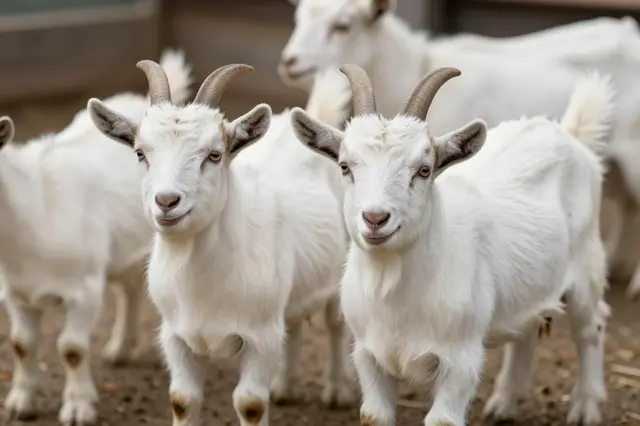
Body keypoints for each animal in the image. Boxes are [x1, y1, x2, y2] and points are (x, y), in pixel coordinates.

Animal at [0, 49, 192, 426]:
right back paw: (119, 350)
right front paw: (20, 402)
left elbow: (71, 349)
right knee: (130, 288)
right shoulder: (15, 293)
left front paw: (78, 407)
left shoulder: (85, 289)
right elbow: (22, 344)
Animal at [290, 64, 613, 425]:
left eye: (424, 169)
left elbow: (442, 418)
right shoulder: (368, 355)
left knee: (591, 327)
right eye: (345, 166)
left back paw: (585, 408)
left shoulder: (461, 359)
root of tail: (570, 134)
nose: (375, 218)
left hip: (586, 268)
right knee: (528, 327)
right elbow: (375, 415)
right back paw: (504, 403)